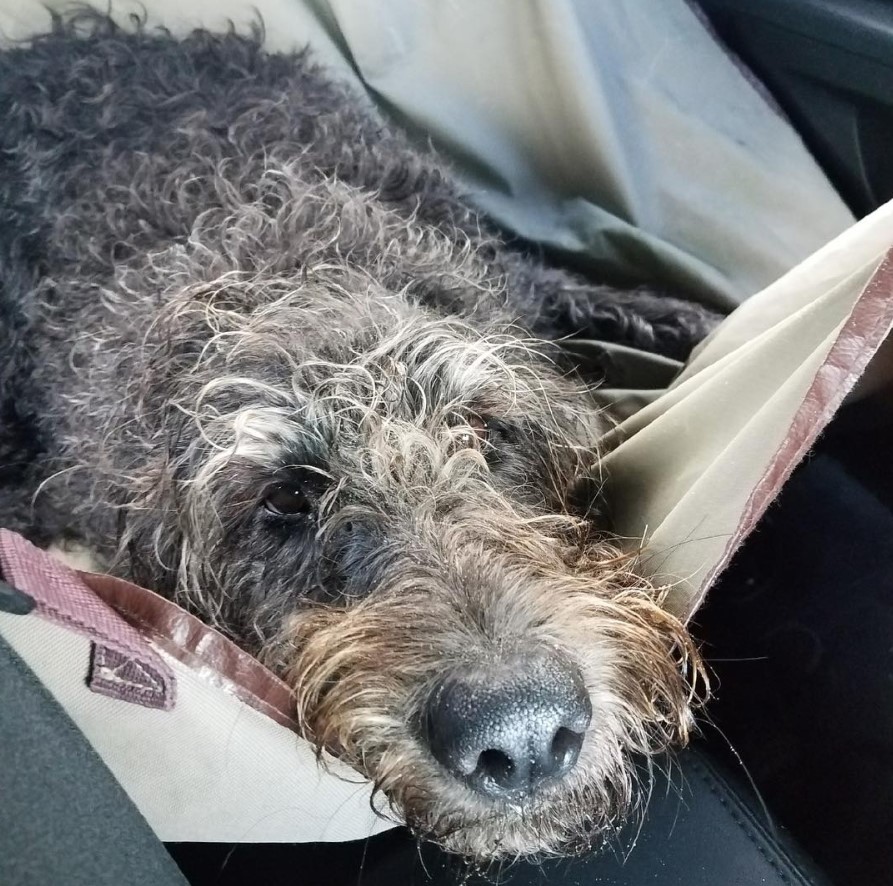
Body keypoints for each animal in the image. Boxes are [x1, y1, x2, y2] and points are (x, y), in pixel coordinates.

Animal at [0, 10, 712, 864]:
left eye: (482, 429)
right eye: (284, 497)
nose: (523, 734)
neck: (286, 270)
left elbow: (574, 291)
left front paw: (684, 320)